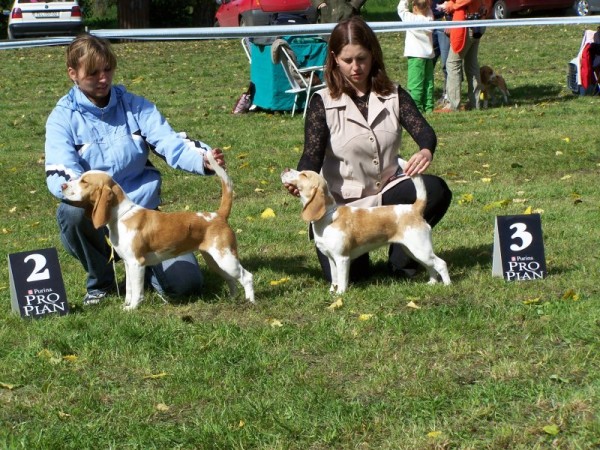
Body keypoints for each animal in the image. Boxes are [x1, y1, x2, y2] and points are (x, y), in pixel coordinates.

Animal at [62, 151, 254, 310]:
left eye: (84, 181)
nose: (63, 185)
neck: (121, 216)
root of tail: (218, 215)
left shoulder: (136, 263)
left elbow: (137, 291)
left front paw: (133, 308)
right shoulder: (128, 263)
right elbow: (129, 289)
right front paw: (125, 305)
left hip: (226, 258)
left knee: (247, 276)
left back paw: (250, 302)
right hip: (215, 260)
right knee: (231, 279)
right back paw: (233, 299)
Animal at [282, 167, 450, 294]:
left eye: (304, 174)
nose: (286, 169)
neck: (329, 216)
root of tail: (414, 209)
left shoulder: (342, 258)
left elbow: (342, 280)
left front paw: (340, 295)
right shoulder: (331, 258)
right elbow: (334, 278)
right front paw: (331, 292)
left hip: (420, 250)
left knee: (441, 263)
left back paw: (447, 285)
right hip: (412, 251)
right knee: (431, 266)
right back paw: (432, 283)